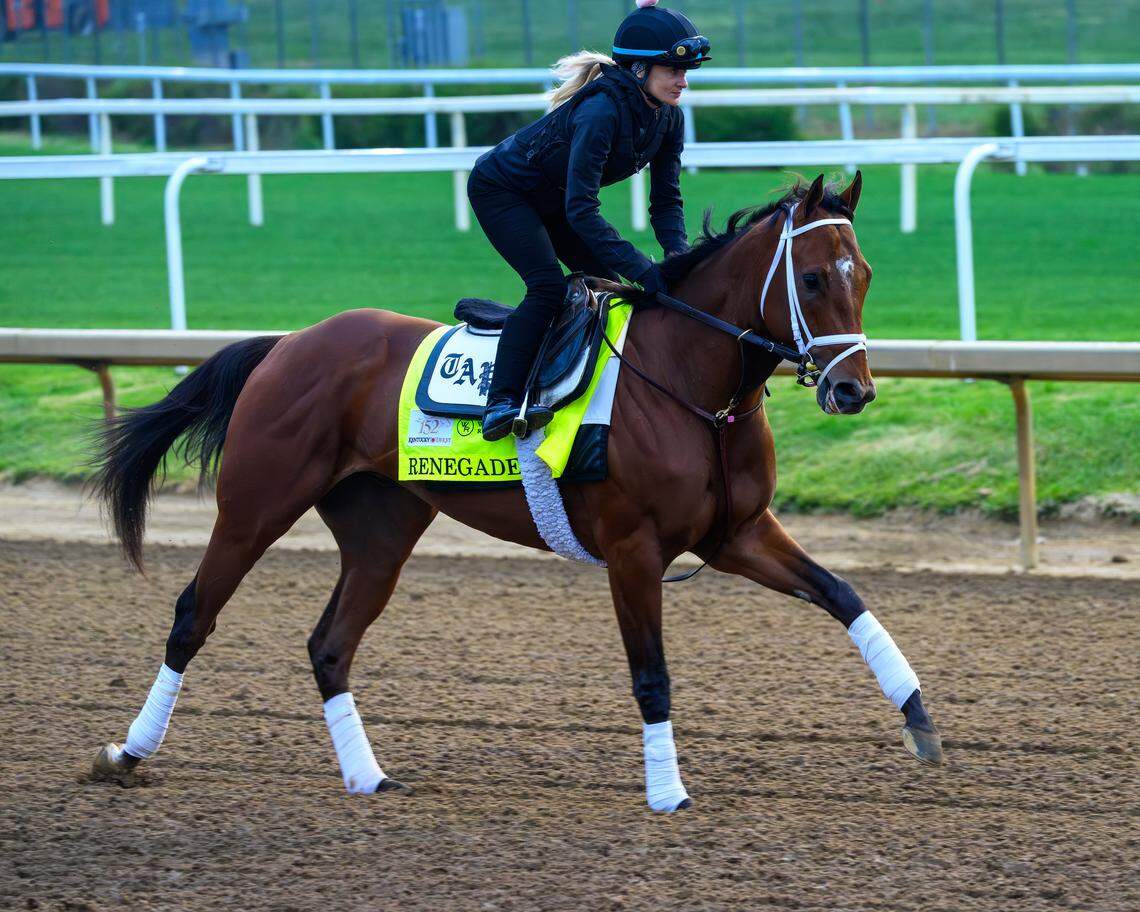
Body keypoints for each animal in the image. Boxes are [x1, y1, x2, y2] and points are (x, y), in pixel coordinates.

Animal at [90, 173, 943, 813]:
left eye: (864, 277)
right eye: (812, 279)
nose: (853, 391)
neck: (695, 387)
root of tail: (288, 343)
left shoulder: (737, 533)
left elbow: (843, 595)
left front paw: (920, 720)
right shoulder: (634, 550)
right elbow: (652, 674)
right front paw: (668, 792)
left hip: (380, 530)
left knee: (329, 645)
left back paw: (367, 776)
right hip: (256, 504)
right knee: (192, 616)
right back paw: (126, 752)